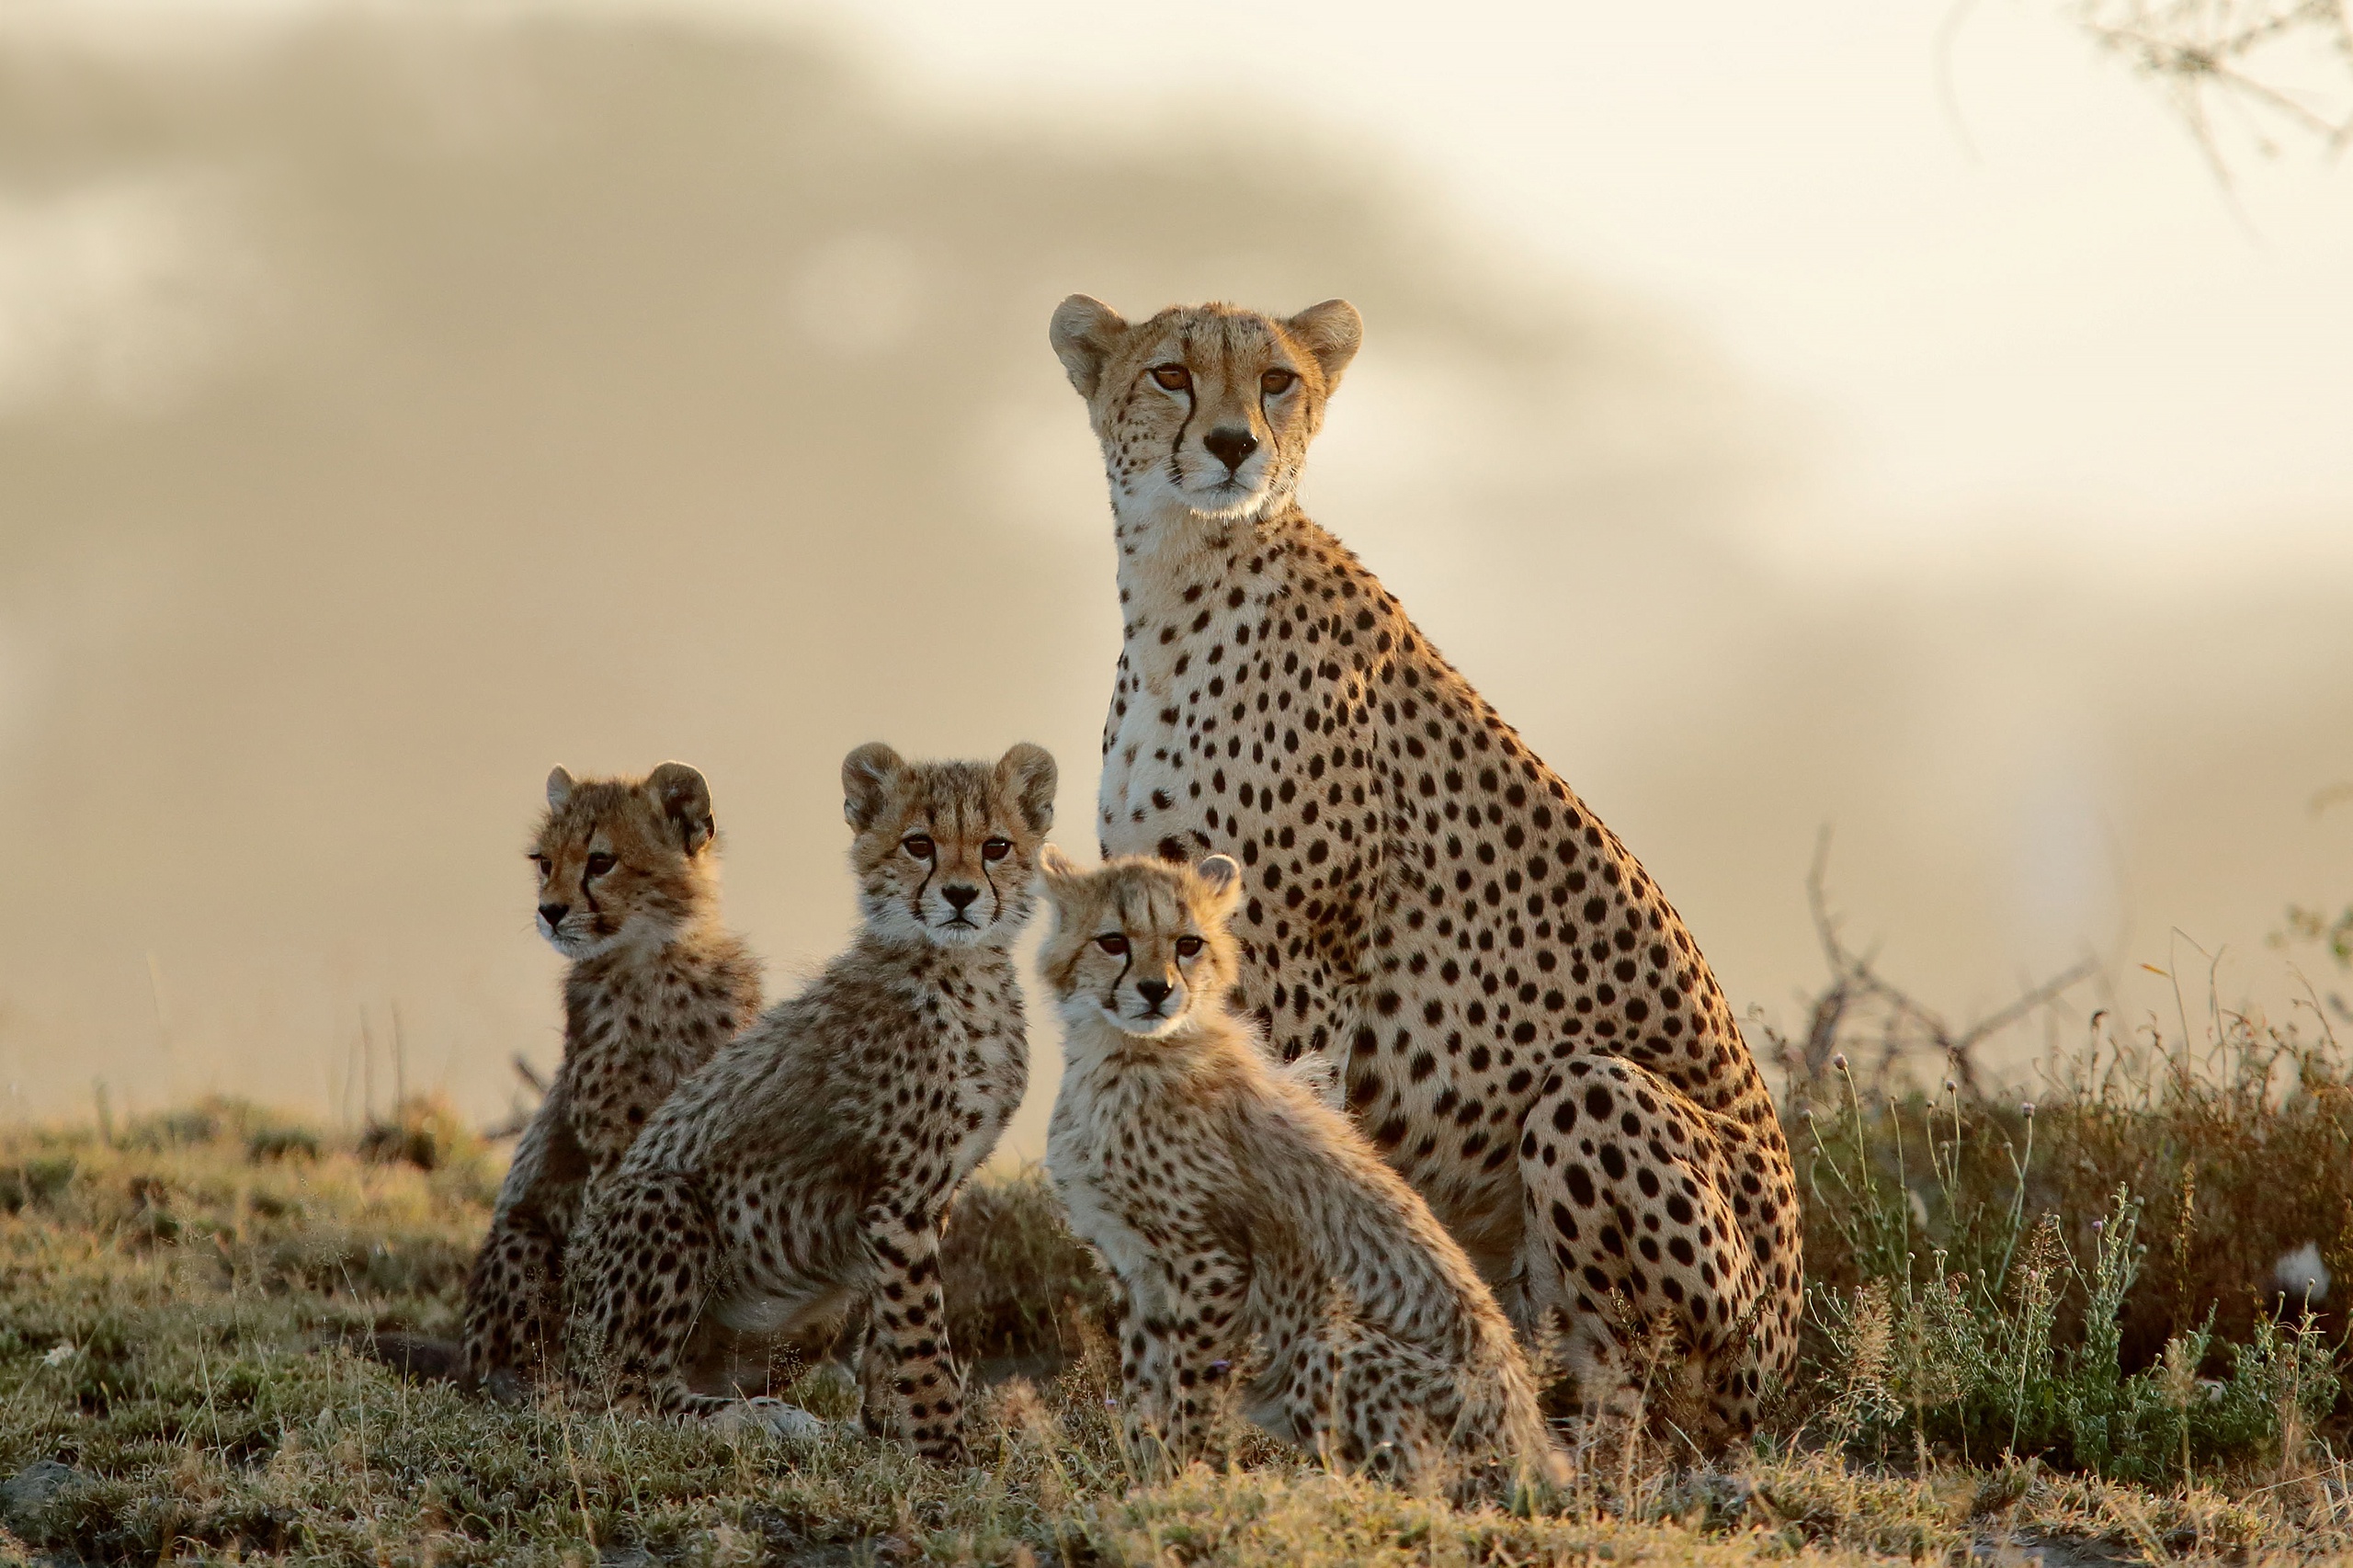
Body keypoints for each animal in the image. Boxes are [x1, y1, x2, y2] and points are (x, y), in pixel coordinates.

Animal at [1049, 292, 1797, 1431]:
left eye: (1276, 380)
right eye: (1171, 373)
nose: (1232, 444)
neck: (1181, 574)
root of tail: (1792, 1348)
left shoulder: (1298, 958)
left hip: (1596, 1096)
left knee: (1640, 1393)